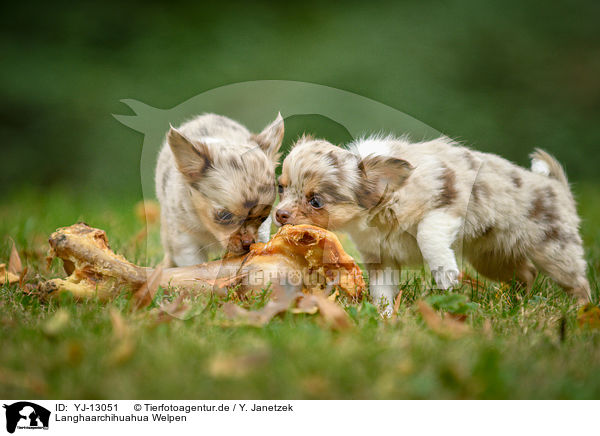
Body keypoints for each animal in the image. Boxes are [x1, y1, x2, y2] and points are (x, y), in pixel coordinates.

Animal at [157, 112, 284, 268]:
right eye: (225, 216)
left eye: (264, 217)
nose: (248, 243)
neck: (207, 228)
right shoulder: (184, 239)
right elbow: (192, 264)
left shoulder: (262, 231)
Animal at [276, 135, 592, 312]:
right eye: (281, 187)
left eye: (316, 201)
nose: (279, 214)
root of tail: (557, 185)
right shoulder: (382, 258)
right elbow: (382, 291)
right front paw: (385, 317)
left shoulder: (446, 207)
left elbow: (427, 236)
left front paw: (445, 274)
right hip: (492, 258)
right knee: (526, 272)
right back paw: (517, 302)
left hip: (554, 249)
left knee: (578, 282)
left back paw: (581, 311)